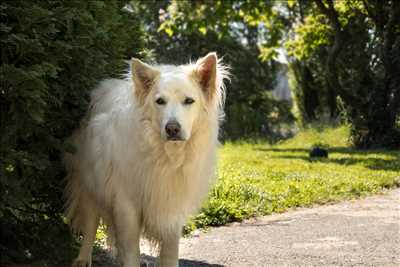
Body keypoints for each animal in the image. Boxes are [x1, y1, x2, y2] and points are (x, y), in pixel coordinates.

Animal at [64, 52, 230, 267]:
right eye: (160, 101)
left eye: (189, 101)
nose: (172, 128)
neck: (167, 155)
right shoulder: (127, 204)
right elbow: (131, 249)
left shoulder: (172, 204)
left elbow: (170, 251)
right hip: (90, 184)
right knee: (90, 225)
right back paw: (83, 259)